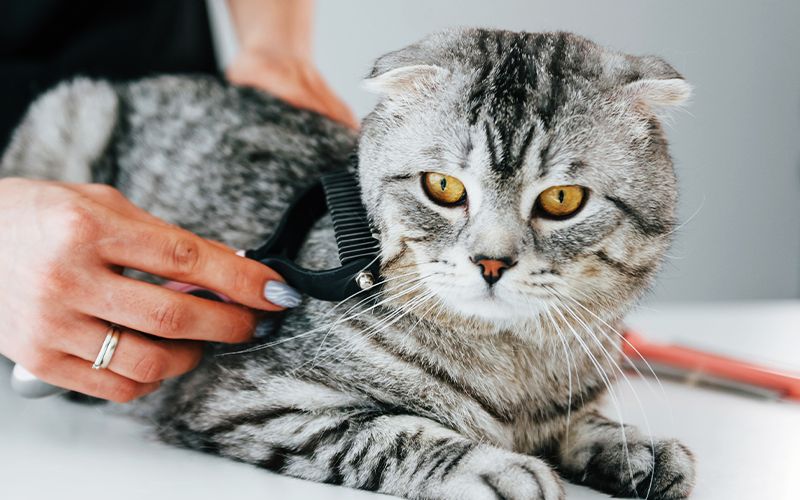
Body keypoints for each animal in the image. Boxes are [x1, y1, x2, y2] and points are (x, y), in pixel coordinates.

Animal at [3, 30, 692, 500]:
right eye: (444, 187)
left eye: (561, 200)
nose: (490, 262)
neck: (513, 362)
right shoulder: (253, 400)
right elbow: (399, 436)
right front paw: (497, 467)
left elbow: (585, 424)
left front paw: (634, 449)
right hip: (72, 113)